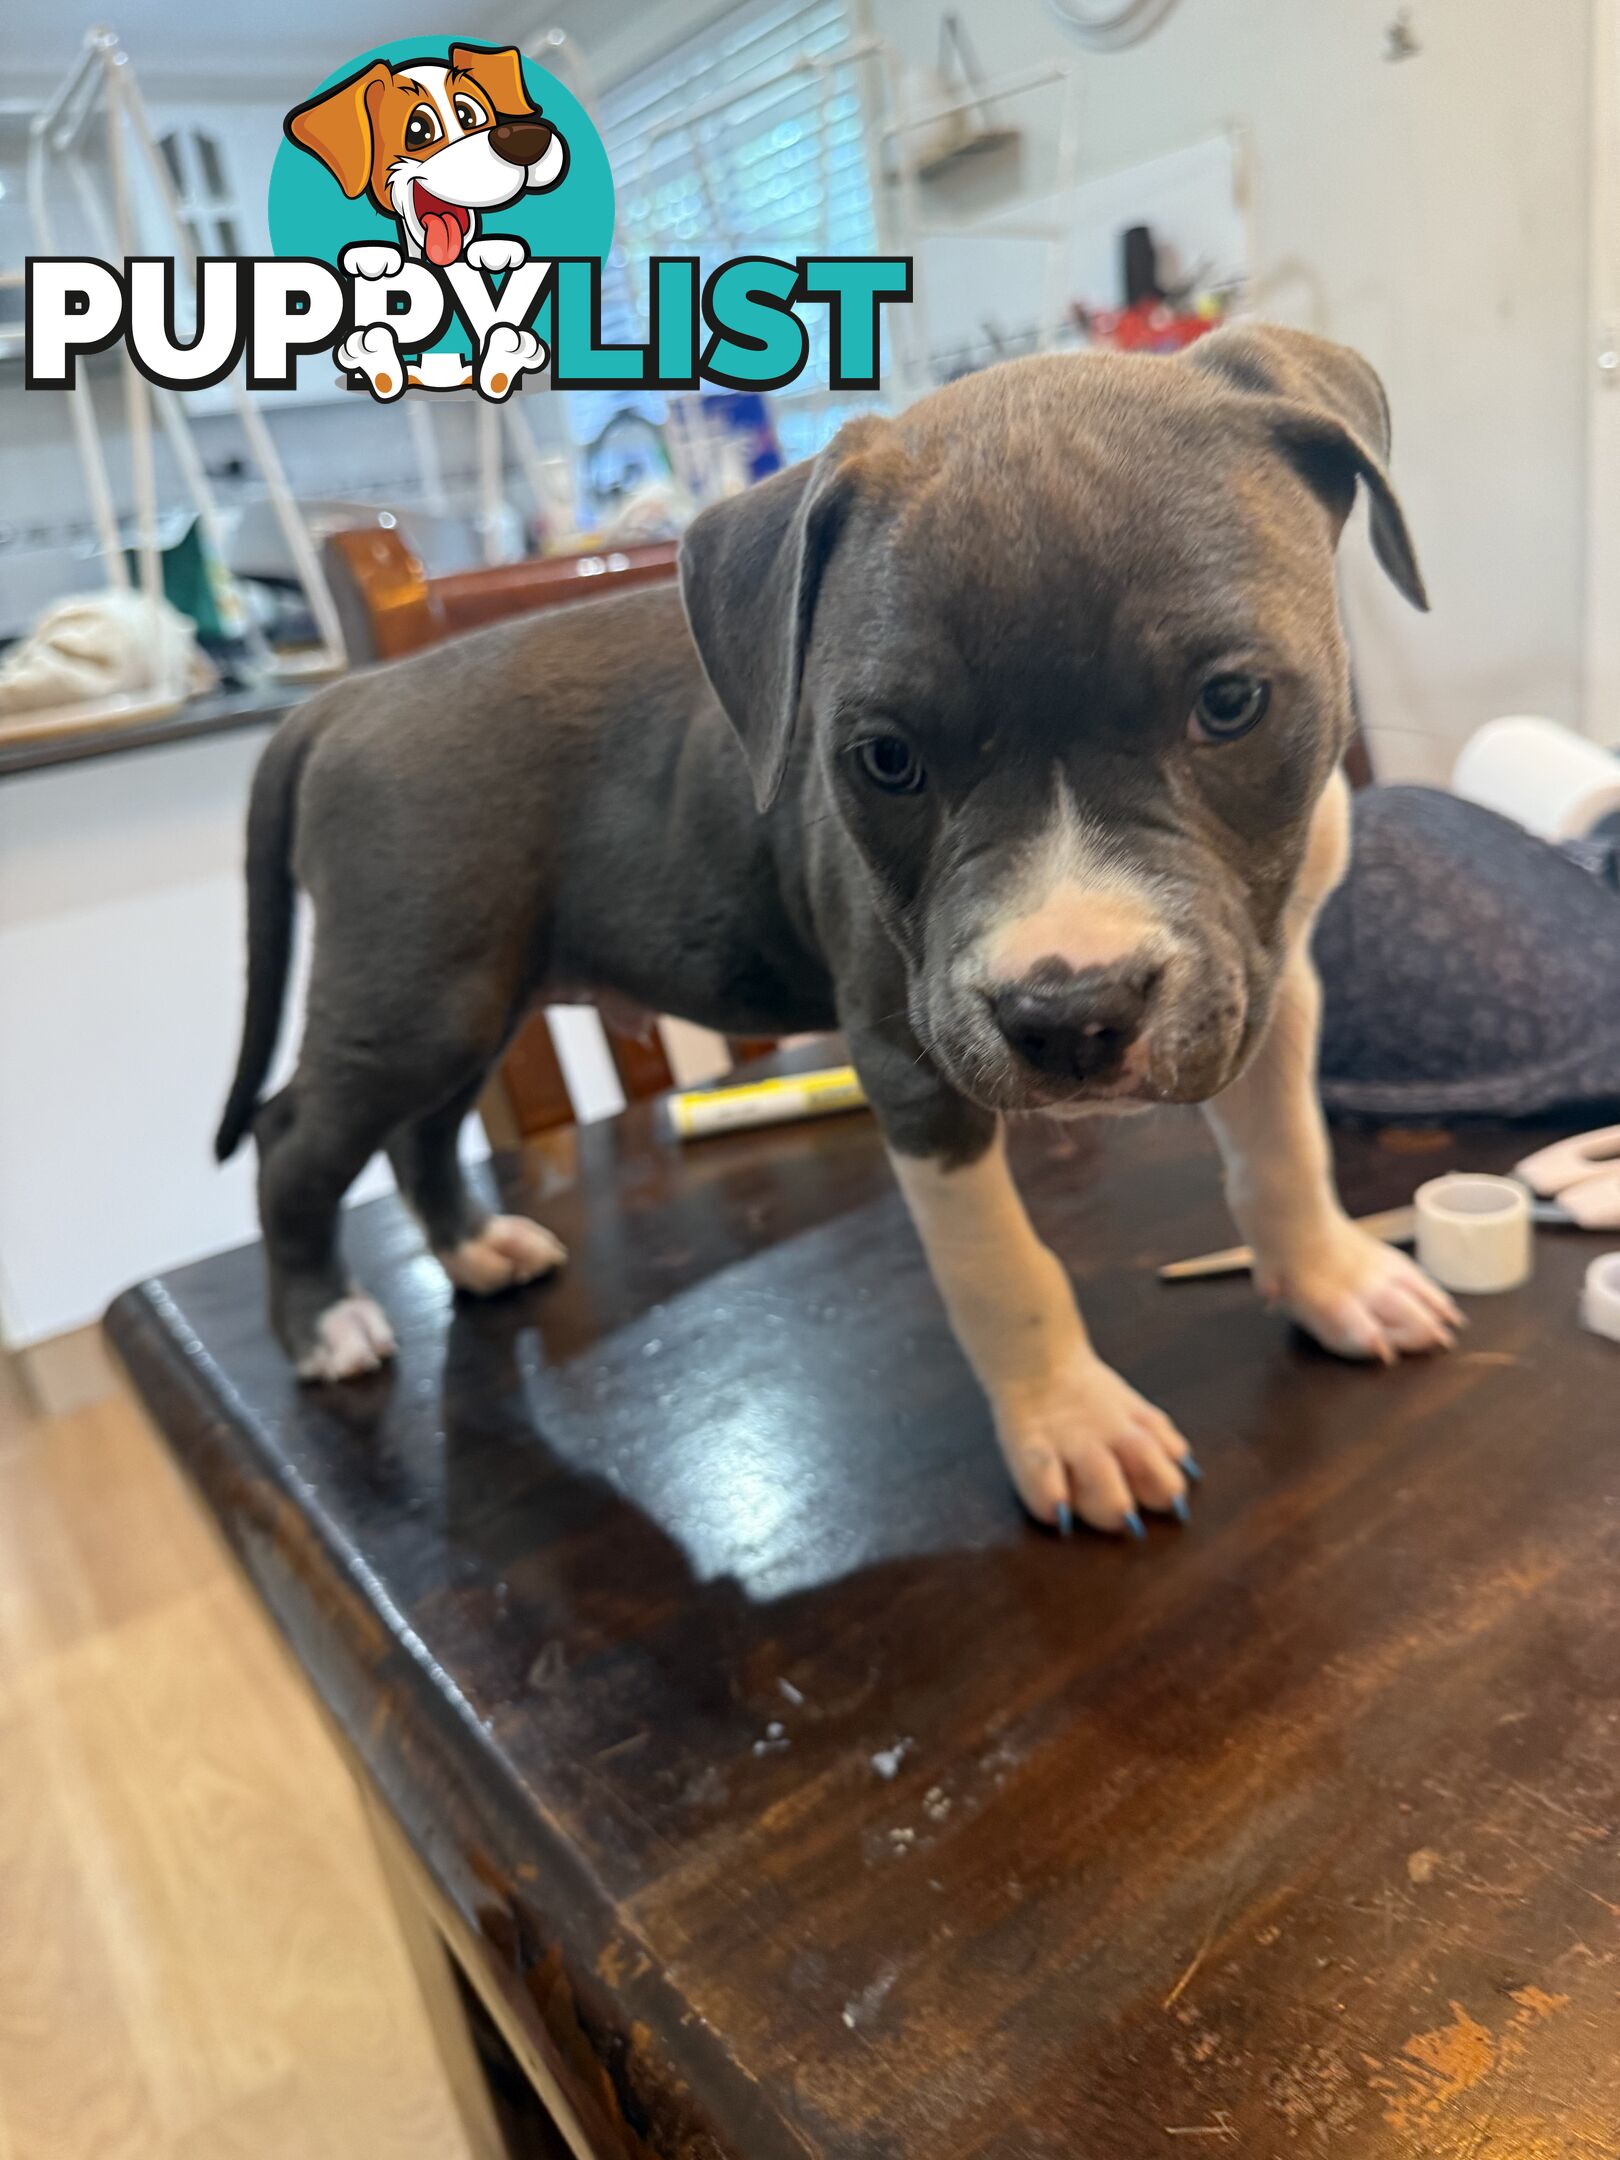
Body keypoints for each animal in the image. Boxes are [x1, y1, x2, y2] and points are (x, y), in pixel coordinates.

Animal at [212, 319, 1460, 1537]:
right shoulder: (911, 1060)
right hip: (414, 993)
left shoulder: (1272, 974)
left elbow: (1284, 1151)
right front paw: (1071, 1425)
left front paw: (1333, 1281)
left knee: (424, 1130)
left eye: (1232, 702)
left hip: (478, 991)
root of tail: (352, 695)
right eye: (888, 758)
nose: (1070, 1015)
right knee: (295, 1139)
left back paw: (474, 1248)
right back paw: (325, 1325)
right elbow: (1001, 1269)